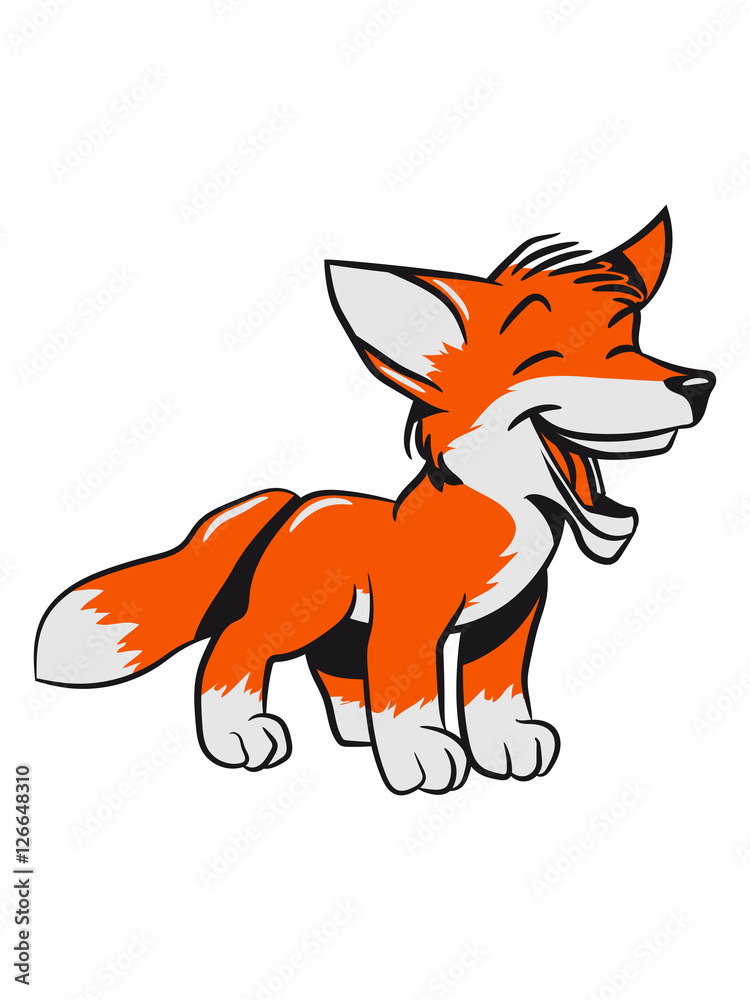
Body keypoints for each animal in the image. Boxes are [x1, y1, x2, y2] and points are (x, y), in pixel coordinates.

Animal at [35, 208, 715, 794]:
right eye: (552, 355)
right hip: (303, 612)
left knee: (333, 666)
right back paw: (241, 733)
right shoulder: (411, 614)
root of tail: (294, 504)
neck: (500, 521)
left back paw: (359, 731)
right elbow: (409, 687)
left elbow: (491, 687)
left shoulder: (509, 615)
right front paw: (420, 753)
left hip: (341, 622)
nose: (698, 384)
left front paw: (503, 745)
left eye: (632, 339)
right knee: (235, 644)